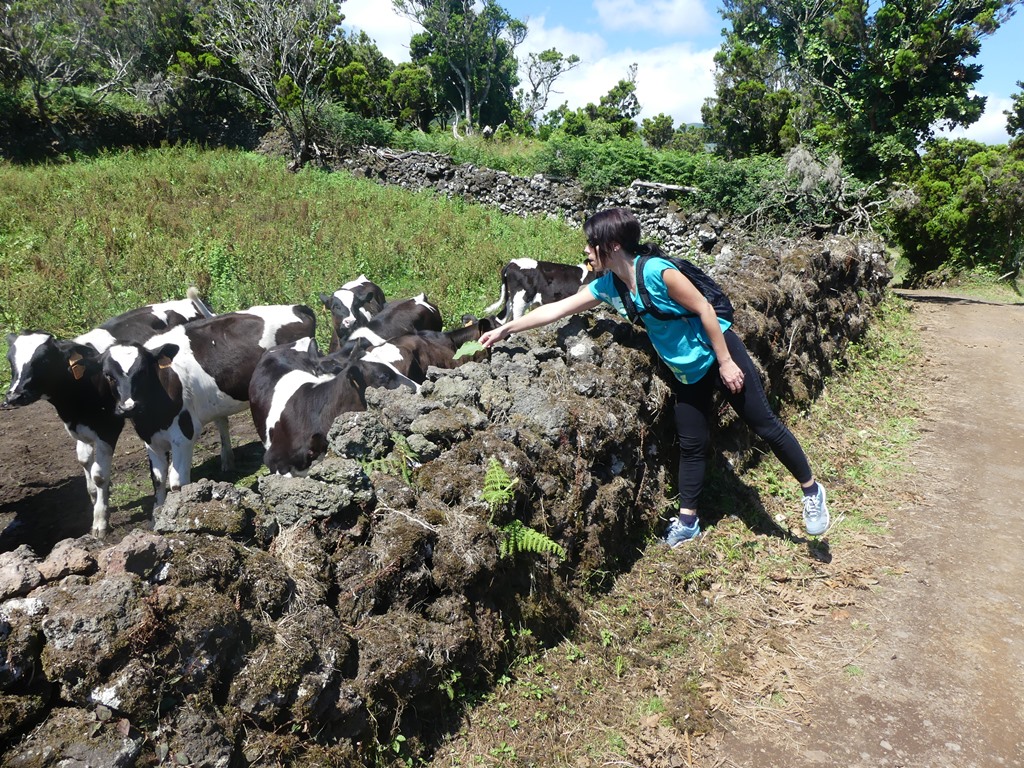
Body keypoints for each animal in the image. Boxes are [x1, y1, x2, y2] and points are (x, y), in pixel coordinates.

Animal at [1, 290, 214, 536]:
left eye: (43, 359)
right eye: (10, 360)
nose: (13, 396)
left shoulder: (106, 429)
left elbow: (99, 475)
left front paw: (100, 521)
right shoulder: (81, 427)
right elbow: (85, 462)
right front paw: (95, 500)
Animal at [101, 303, 315, 507]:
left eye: (143, 370)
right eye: (108, 376)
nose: (128, 407)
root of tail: (298, 307)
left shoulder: (184, 435)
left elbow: (178, 483)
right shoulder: (151, 441)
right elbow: (158, 481)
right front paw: (157, 515)